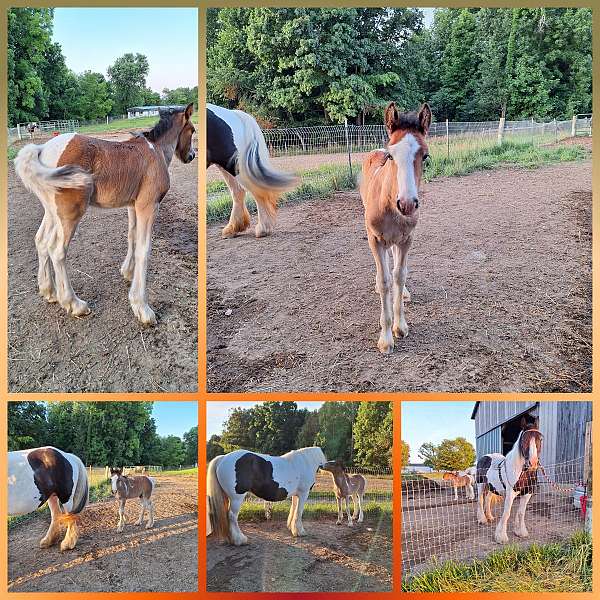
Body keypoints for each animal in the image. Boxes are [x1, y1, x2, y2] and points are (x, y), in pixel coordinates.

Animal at [15, 105, 196, 326]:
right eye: (193, 130)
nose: (192, 155)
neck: (156, 150)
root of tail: (41, 149)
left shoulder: (133, 206)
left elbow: (131, 236)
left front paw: (127, 272)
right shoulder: (148, 205)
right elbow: (144, 250)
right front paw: (142, 307)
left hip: (52, 211)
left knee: (41, 241)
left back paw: (49, 292)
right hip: (70, 212)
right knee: (56, 250)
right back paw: (74, 304)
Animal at [207, 105, 298, 239]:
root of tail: (233, 114)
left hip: (236, 166)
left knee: (256, 191)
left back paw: (263, 229)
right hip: (228, 165)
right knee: (238, 192)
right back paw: (233, 228)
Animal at [360, 101, 432, 354]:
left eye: (425, 156)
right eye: (391, 156)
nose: (407, 204)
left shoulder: (406, 239)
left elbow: (399, 275)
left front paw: (400, 326)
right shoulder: (375, 239)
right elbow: (384, 282)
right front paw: (385, 338)